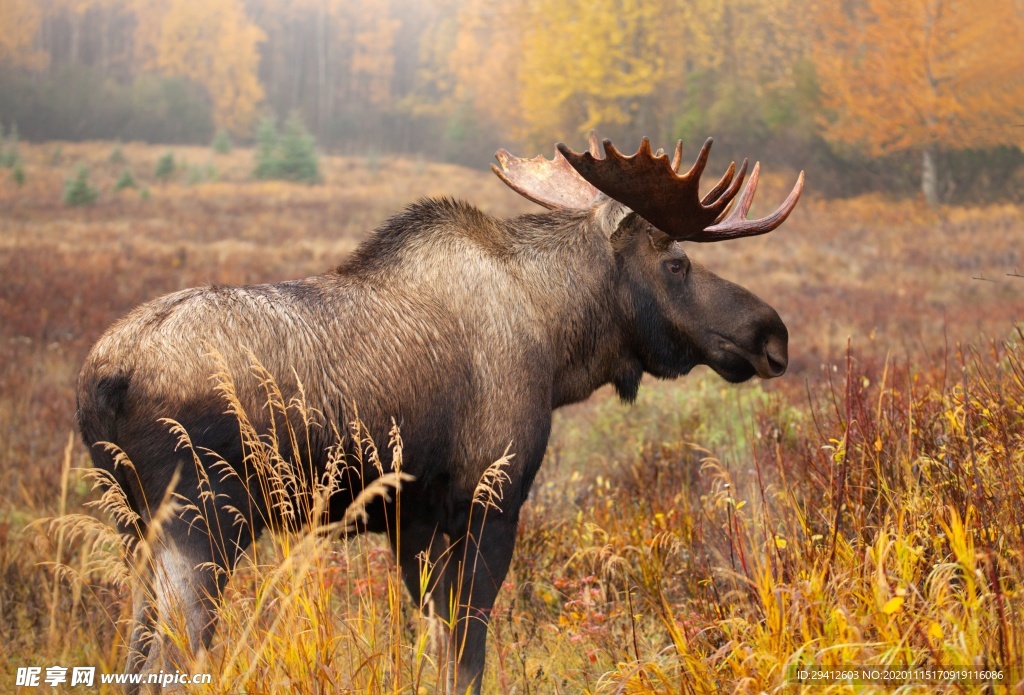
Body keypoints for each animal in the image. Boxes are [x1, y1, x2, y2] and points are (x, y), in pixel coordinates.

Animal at [75, 133, 802, 691]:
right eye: (677, 263)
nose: (773, 333)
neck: (557, 343)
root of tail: (102, 382)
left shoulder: (412, 519)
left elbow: (433, 644)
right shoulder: (490, 501)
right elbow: (467, 654)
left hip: (136, 528)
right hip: (201, 521)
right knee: (167, 662)